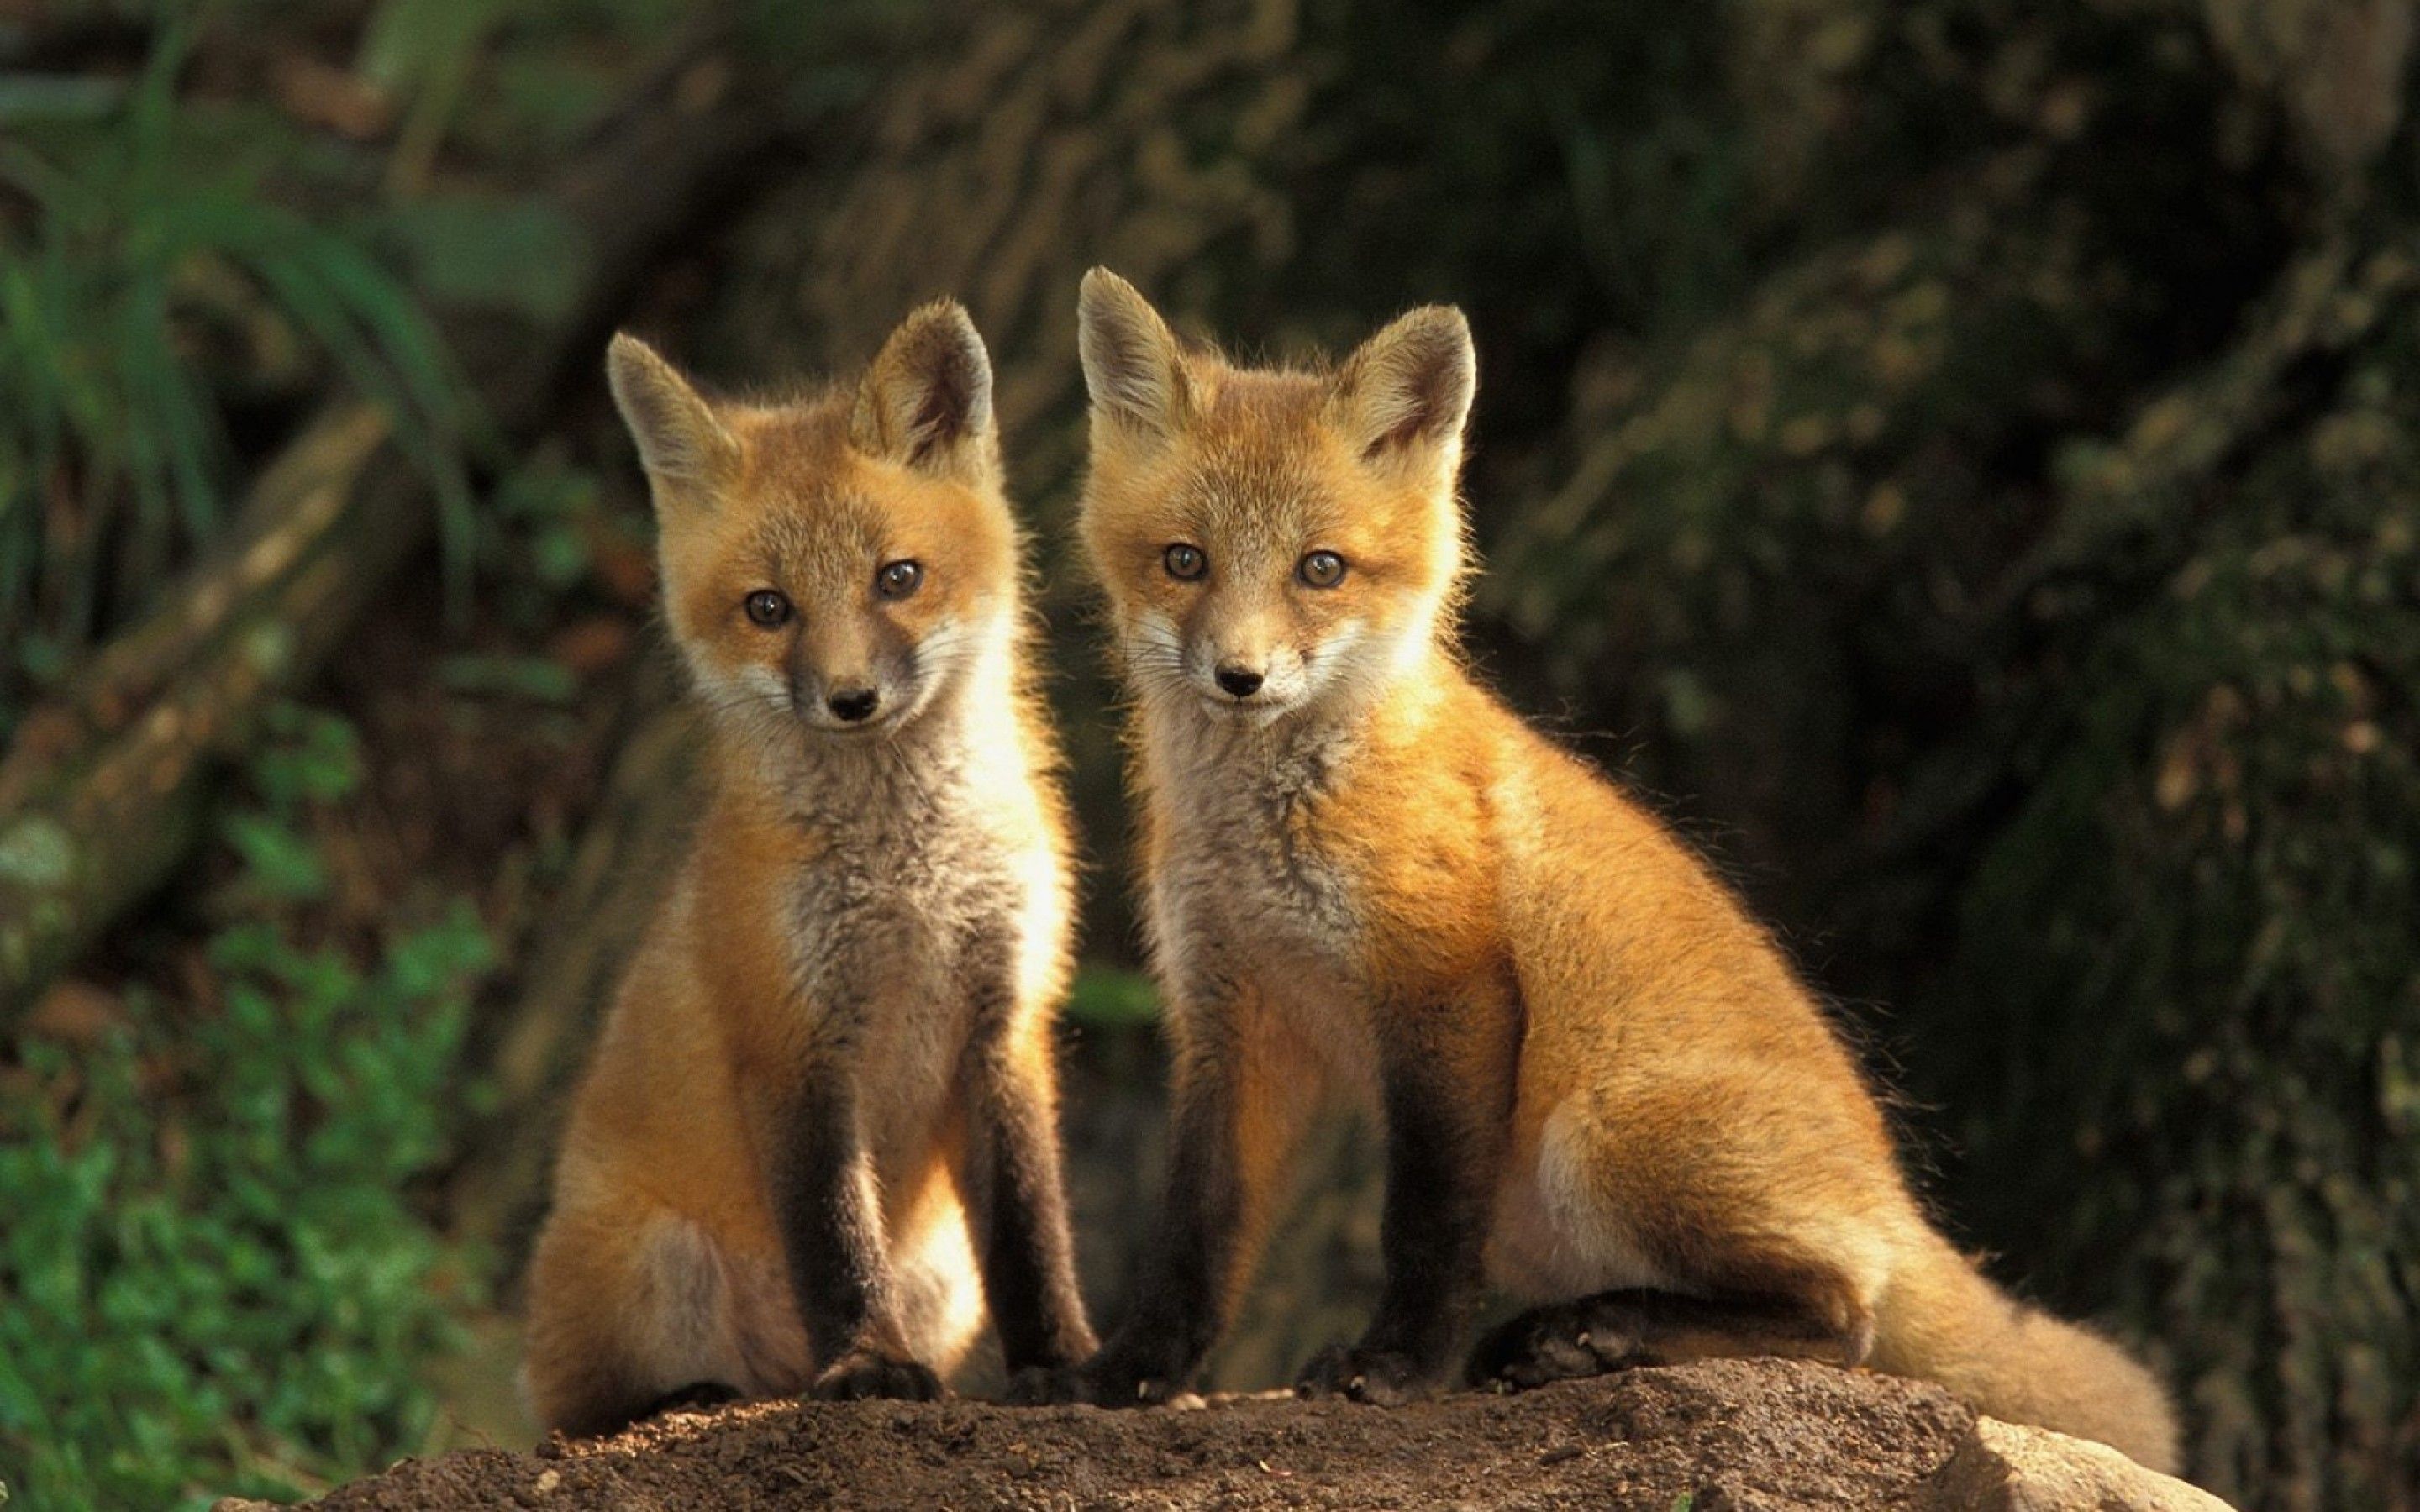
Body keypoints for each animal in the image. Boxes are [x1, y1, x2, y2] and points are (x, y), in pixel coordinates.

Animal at [534, 301, 1103, 1431]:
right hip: (655, 1264)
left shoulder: (1006, 1020)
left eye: (899, 578)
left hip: (943, 1276)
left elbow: (1033, 1230)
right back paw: (696, 1398)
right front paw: (870, 1366)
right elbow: (836, 1239)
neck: (911, 880)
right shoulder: (793, 1041)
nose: (850, 699)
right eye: (769, 608)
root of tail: (772, 1376)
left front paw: (1064, 1366)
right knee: (581, 1413)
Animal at [1011, 270, 2187, 1471]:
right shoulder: (1233, 1010)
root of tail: (1897, 1197)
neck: (1267, 828)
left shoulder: (1448, 987)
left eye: (1321, 569)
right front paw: (1127, 1377)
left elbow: (1423, 1221)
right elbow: (1197, 1231)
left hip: (1600, 1133)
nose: (1240, 677)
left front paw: (1398, 1368)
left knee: (1846, 1318)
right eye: (1184, 560)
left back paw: (1599, 1335)